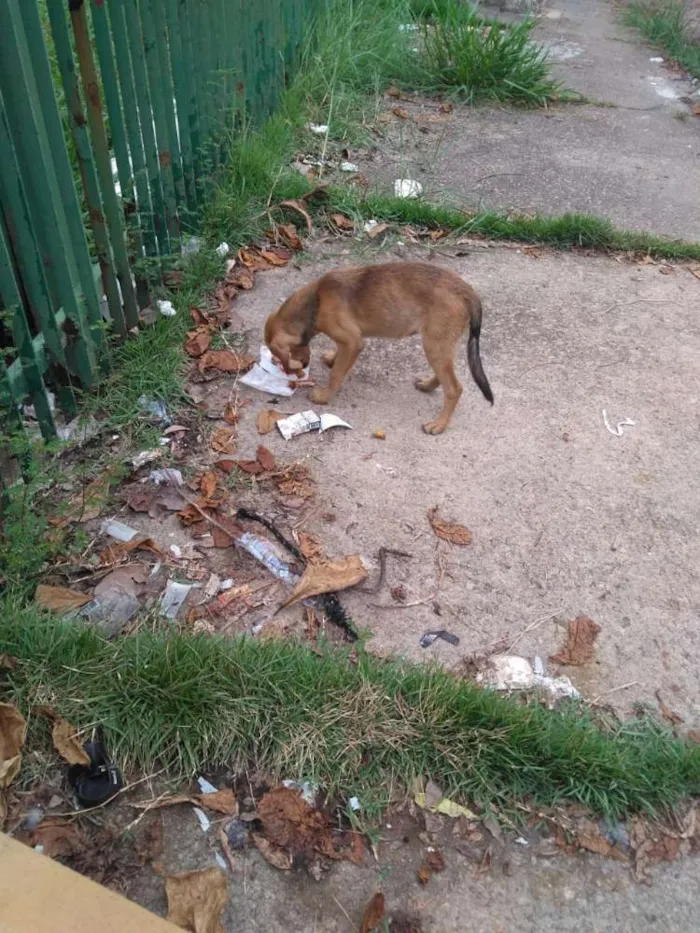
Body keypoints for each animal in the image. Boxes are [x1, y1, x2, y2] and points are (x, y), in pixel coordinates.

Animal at [264, 258, 492, 434]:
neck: (317, 301)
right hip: (440, 344)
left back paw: (438, 425)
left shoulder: (353, 342)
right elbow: (339, 358)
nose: (300, 367)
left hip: (435, 344)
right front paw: (332, 359)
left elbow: (337, 374)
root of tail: (467, 291)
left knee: (454, 388)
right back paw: (428, 385)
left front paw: (324, 396)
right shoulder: (349, 340)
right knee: (446, 375)